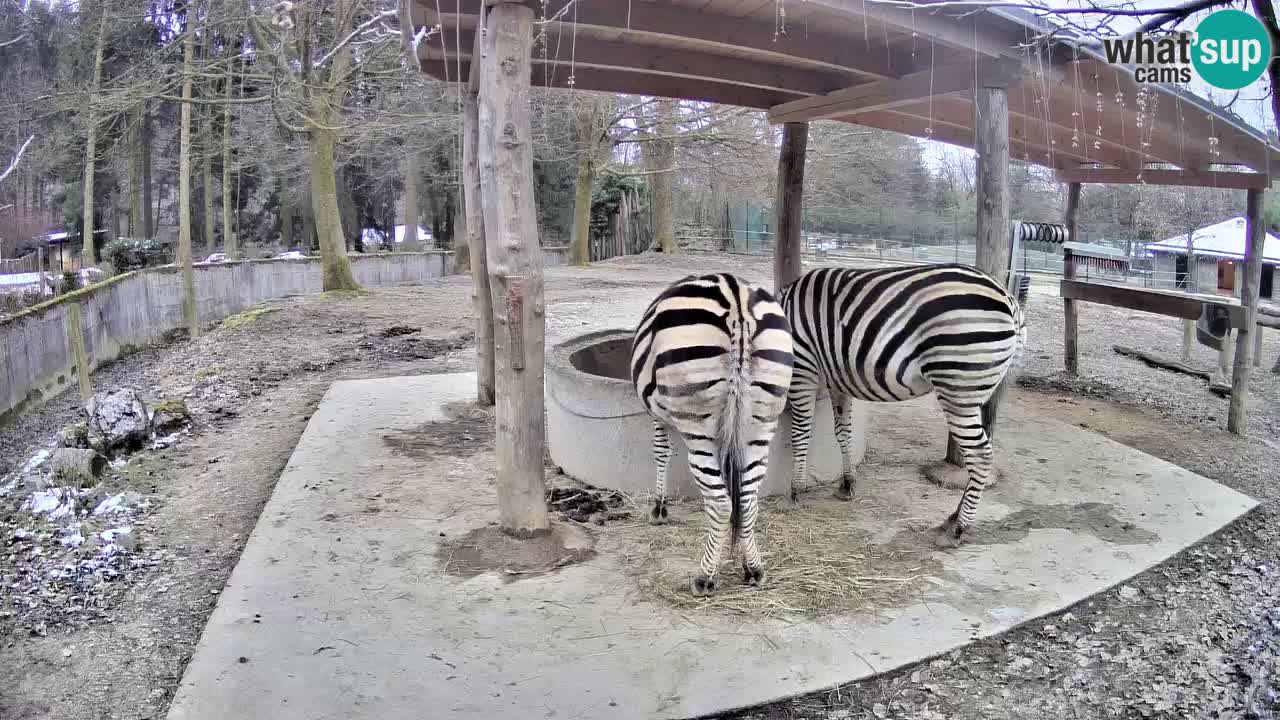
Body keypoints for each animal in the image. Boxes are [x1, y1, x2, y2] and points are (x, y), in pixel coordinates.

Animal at [627, 271, 788, 591]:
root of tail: (736, 297)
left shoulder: (658, 415)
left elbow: (661, 453)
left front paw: (659, 509)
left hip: (698, 424)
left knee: (721, 503)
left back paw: (705, 577)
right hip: (761, 422)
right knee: (747, 500)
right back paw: (753, 569)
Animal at [773, 260, 1024, 545]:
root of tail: (1008, 298)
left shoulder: (803, 366)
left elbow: (801, 432)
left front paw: (793, 492)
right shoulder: (836, 377)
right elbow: (843, 432)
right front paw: (847, 484)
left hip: (958, 388)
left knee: (980, 455)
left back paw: (958, 529)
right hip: (983, 392)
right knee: (981, 454)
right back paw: (953, 519)